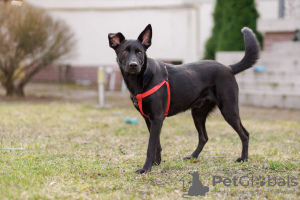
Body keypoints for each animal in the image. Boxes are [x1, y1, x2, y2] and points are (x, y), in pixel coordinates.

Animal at [108, 23, 260, 173]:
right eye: (124, 52)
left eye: (139, 52)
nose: (133, 65)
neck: (142, 78)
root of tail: (228, 68)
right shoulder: (149, 119)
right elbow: (156, 144)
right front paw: (156, 163)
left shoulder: (157, 118)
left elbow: (150, 146)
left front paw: (146, 168)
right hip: (198, 113)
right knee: (204, 137)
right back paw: (193, 156)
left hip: (229, 110)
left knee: (245, 134)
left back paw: (244, 158)